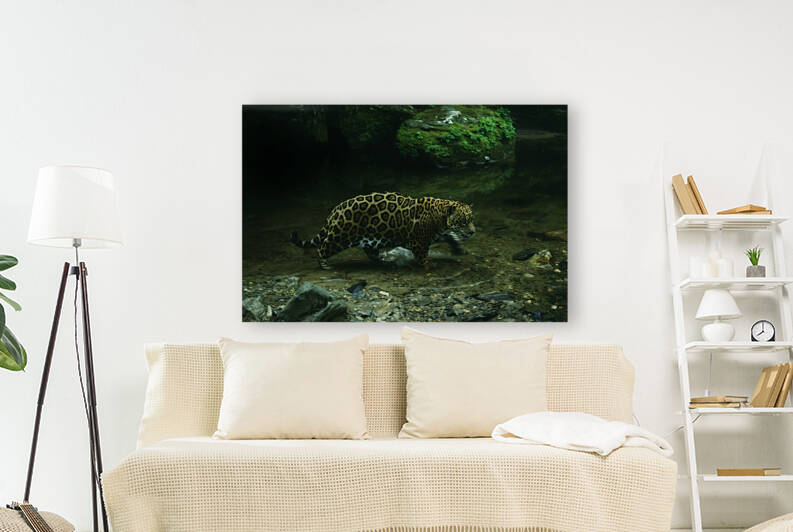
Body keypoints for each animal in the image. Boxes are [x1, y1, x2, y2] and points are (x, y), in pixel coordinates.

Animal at [290, 192, 475, 269]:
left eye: (472, 219)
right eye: (463, 221)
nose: (473, 232)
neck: (441, 216)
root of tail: (335, 210)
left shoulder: (437, 234)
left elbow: (451, 236)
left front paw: (458, 248)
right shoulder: (420, 242)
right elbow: (423, 258)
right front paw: (430, 265)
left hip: (369, 240)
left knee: (371, 253)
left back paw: (386, 261)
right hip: (339, 237)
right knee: (322, 248)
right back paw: (324, 265)